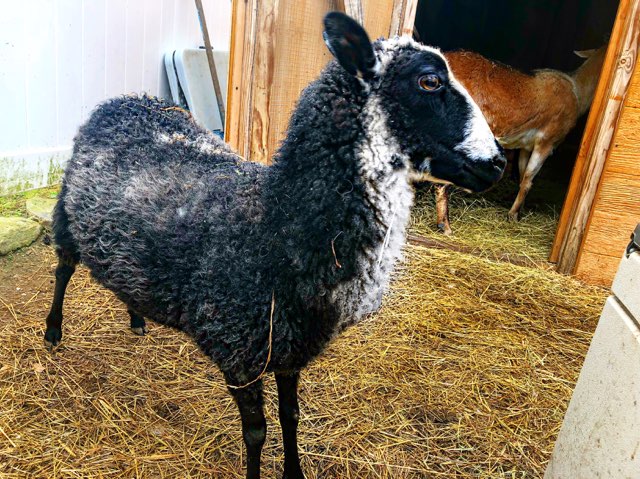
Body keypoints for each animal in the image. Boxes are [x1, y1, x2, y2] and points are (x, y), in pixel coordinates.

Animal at [43, 12, 505, 479]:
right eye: (429, 81)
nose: (499, 164)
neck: (276, 223)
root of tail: (126, 99)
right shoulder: (238, 350)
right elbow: (256, 433)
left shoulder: (290, 349)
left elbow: (291, 417)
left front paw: (295, 471)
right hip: (65, 216)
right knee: (63, 269)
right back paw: (53, 331)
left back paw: (137, 318)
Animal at [432, 46, 607, 235]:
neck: (577, 92)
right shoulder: (547, 141)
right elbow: (528, 180)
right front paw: (513, 215)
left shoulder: (526, 146)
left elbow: (522, 175)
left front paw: (519, 211)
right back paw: (446, 227)